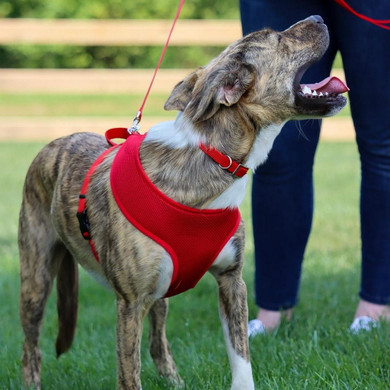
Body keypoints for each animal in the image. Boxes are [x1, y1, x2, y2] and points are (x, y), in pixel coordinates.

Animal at [19, 16, 348, 390]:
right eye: (275, 38)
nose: (319, 18)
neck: (211, 156)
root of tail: (54, 142)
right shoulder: (129, 302)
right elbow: (129, 373)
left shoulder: (231, 281)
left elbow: (241, 357)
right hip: (36, 279)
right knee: (31, 347)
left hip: (161, 293)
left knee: (158, 341)